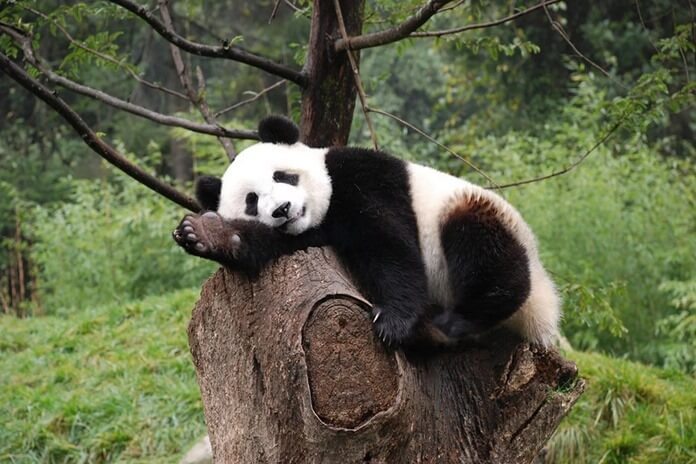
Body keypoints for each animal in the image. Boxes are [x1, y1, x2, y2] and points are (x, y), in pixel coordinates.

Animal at [174, 115, 560, 347]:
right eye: (252, 202)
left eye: (283, 176)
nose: (282, 210)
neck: (325, 206)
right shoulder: (311, 233)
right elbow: (270, 243)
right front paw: (204, 233)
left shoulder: (365, 177)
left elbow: (389, 245)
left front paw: (392, 321)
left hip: (478, 217)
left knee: (488, 253)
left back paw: (458, 319)